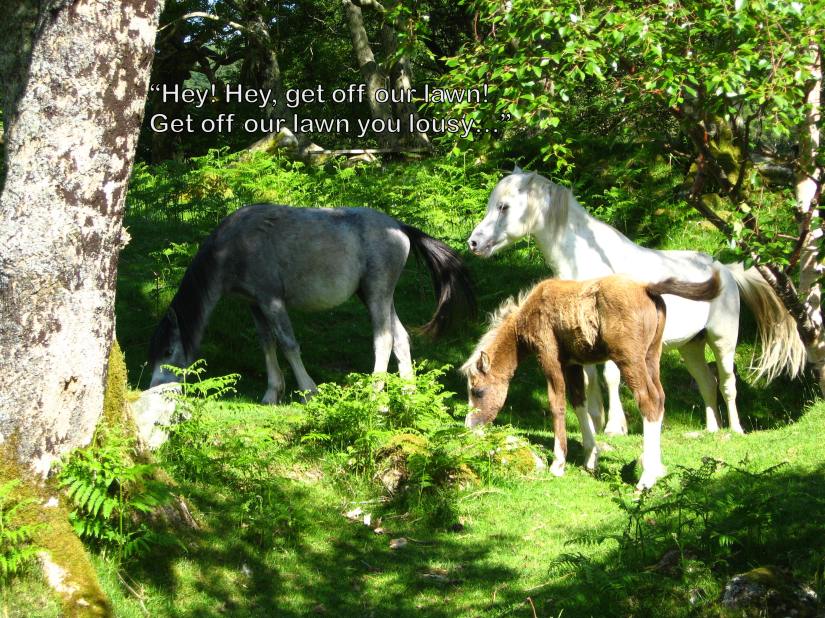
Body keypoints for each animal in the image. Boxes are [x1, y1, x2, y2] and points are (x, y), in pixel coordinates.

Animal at [149, 204, 476, 402]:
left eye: (167, 351)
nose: (155, 387)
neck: (235, 246)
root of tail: (399, 226)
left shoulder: (273, 301)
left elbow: (288, 344)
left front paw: (308, 390)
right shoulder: (255, 305)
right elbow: (267, 343)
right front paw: (272, 393)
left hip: (377, 294)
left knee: (383, 340)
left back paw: (375, 395)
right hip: (379, 296)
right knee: (401, 338)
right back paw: (408, 391)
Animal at [462, 271, 721, 489]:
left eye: (477, 392)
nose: (469, 426)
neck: (529, 312)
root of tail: (647, 287)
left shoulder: (549, 358)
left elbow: (557, 405)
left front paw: (558, 464)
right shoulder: (573, 364)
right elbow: (579, 403)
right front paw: (590, 458)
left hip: (630, 360)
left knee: (649, 401)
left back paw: (645, 479)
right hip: (651, 355)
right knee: (660, 398)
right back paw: (656, 470)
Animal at [467, 168, 805, 435]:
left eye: (504, 207)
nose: (474, 242)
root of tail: (725, 271)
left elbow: (611, 378)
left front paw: (615, 427)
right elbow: (590, 382)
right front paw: (595, 422)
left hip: (722, 341)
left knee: (727, 383)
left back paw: (735, 430)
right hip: (691, 346)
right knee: (707, 384)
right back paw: (712, 430)